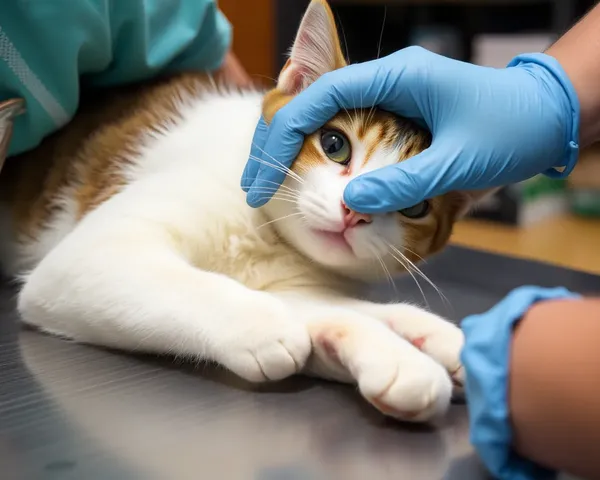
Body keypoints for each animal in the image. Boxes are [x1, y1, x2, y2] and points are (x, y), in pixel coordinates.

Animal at [0, 0, 482, 420]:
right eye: (334, 144)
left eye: (415, 205)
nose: (354, 212)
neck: (267, 235)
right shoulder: (89, 256)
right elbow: (190, 285)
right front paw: (259, 324)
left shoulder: (293, 282)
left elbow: (330, 307)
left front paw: (411, 339)